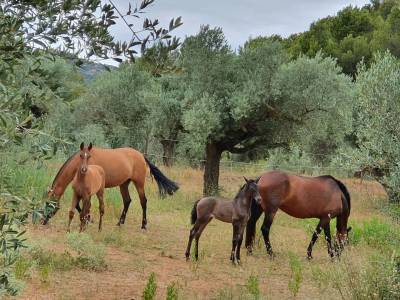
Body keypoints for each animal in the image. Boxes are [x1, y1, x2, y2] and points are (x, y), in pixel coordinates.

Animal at [43, 144, 178, 229]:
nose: (43, 221)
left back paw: (143, 225)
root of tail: (141, 155)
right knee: (127, 201)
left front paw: (88, 220)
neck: (82, 162)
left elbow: (84, 206)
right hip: (124, 184)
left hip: (139, 183)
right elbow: (77, 206)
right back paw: (120, 223)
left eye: (49, 204)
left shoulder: (89, 190)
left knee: (143, 201)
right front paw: (89, 219)